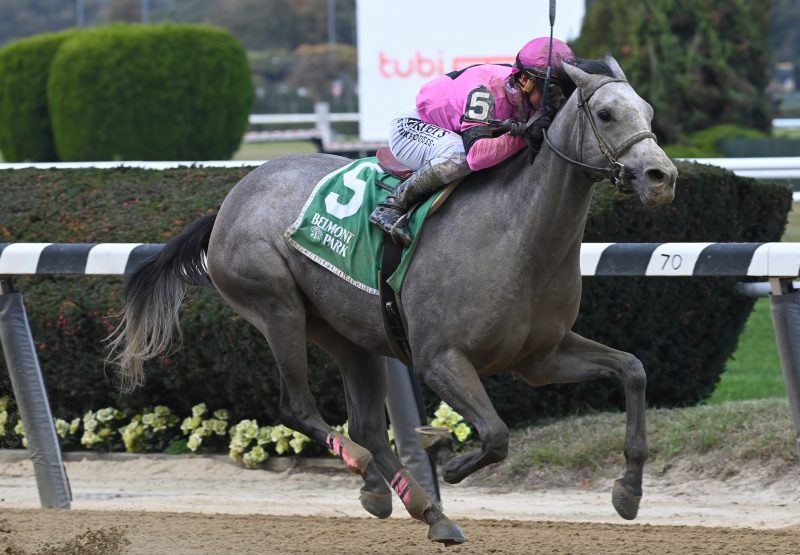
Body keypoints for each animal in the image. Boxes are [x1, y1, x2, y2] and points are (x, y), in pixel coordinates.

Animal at [109, 57, 676, 548]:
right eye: (606, 114)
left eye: (649, 112)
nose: (661, 177)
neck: (519, 235)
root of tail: (229, 202)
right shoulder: (439, 358)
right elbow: (495, 435)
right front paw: (450, 458)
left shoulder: (541, 357)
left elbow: (632, 369)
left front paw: (628, 491)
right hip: (276, 307)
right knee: (298, 407)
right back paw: (373, 474)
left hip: (349, 334)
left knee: (365, 425)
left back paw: (420, 507)